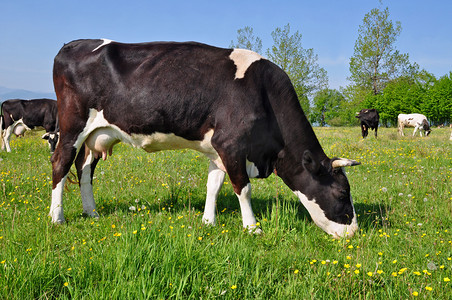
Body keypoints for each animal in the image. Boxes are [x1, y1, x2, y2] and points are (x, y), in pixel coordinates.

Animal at [49, 38, 360, 238]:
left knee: (84, 169)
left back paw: (91, 212)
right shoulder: (231, 145)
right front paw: (252, 227)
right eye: (342, 193)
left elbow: (214, 185)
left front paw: (208, 221)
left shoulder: (218, 150)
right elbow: (243, 188)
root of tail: (71, 45)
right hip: (72, 126)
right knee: (60, 164)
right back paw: (57, 217)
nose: (354, 232)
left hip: (95, 135)